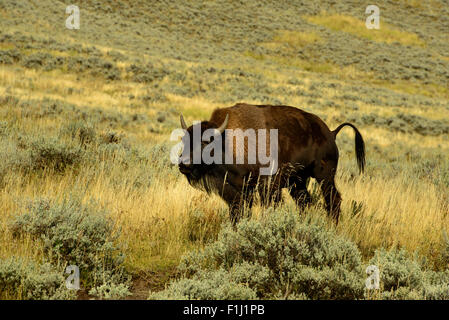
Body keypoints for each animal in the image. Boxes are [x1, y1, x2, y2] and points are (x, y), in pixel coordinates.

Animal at [176, 104, 364, 224]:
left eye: (205, 142)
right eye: (185, 139)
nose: (183, 164)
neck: (226, 141)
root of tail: (331, 133)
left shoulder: (267, 186)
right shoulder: (238, 191)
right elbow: (239, 213)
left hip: (324, 176)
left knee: (333, 200)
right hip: (298, 182)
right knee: (305, 202)